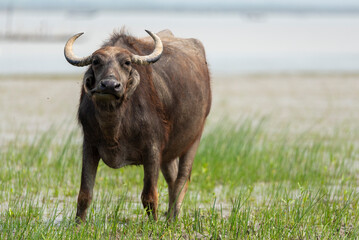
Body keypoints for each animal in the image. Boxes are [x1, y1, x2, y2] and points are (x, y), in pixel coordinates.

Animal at [64, 29, 211, 222]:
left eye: (126, 63)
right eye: (96, 62)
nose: (109, 85)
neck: (114, 127)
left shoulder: (152, 149)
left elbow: (149, 195)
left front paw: (153, 223)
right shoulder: (89, 146)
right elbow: (84, 193)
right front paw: (78, 223)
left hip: (194, 139)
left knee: (182, 179)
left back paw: (173, 218)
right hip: (168, 154)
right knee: (172, 179)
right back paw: (169, 216)